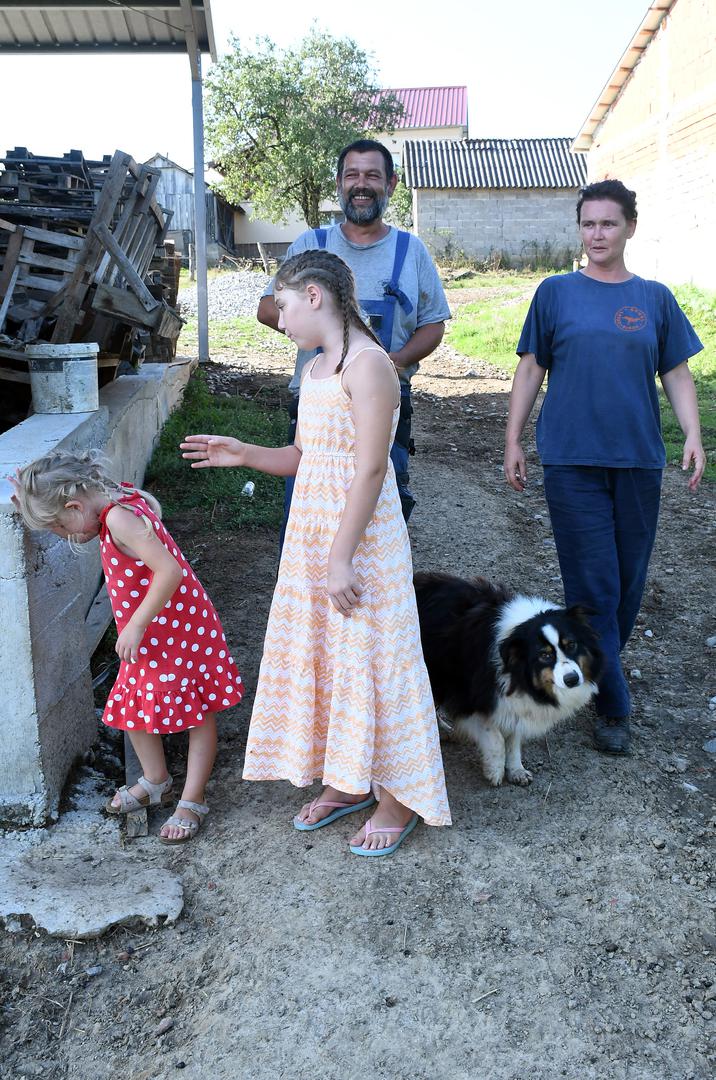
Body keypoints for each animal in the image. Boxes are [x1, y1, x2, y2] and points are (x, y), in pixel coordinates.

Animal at [414, 574, 604, 786]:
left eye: (571, 644)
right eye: (544, 655)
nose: (572, 679)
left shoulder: (517, 701)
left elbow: (514, 738)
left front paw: (516, 770)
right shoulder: (468, 699)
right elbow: (495, 737)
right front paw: (495, 770)